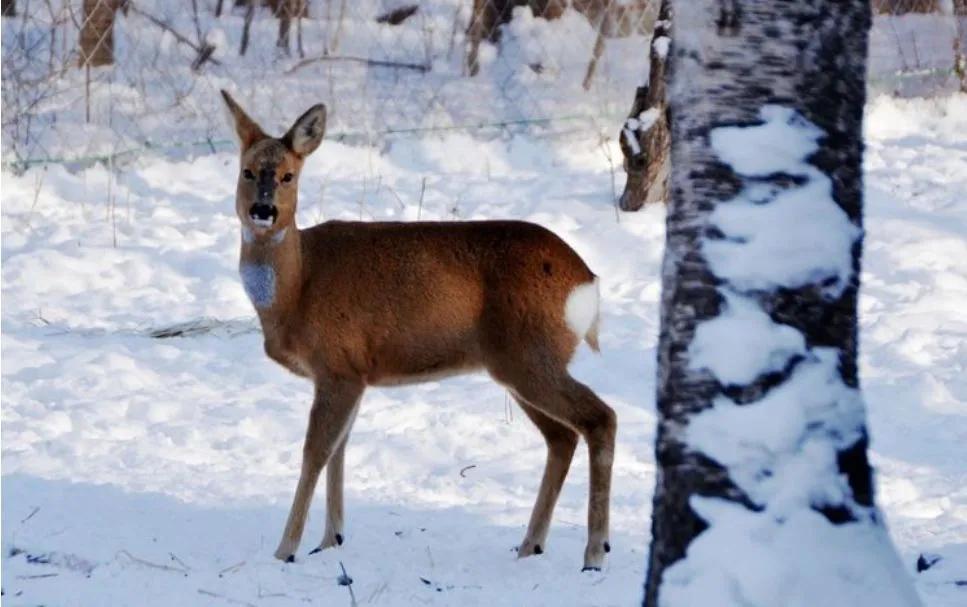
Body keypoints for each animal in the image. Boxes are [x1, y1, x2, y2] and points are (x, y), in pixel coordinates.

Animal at [219, 89, 616, 568]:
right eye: (246, 170)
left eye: (288, 176)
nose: (263, 210)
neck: (298, 286)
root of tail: (587, 280)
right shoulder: (355, 372)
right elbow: (339, 450)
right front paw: (330, 540)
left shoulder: (338, 365)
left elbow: (316, 451)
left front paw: (286, 550)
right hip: (518, 363)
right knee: (562, 437)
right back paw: (530, 546)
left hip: (531, 354)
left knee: (600, 418)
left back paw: (594, 552)